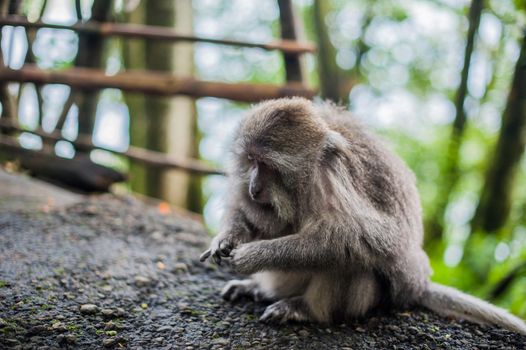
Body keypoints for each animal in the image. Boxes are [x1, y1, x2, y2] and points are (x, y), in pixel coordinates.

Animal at [199, 96, 526, 334]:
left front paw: (254, 256)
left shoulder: (331, 181)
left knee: (352, 254)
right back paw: (260, 289)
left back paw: (305, 309)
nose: (253, 187)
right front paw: (226, 238)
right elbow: (247, 211)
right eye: (250, 160)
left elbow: (365, 237)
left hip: (373, 296)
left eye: (267, 166)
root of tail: (417, 287)